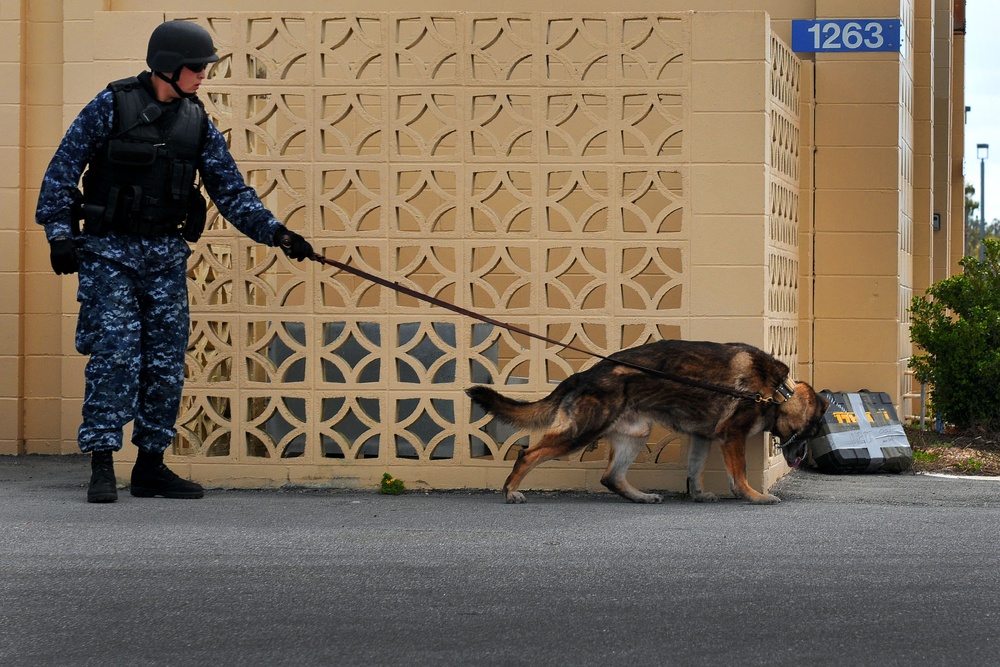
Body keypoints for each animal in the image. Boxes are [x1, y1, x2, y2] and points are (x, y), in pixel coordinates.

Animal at [468, 342, 828, 504]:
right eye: (809, 432)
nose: (799, 460)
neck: (778, 392)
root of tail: (582, 375)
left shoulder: (703, 438)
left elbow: (695, 469)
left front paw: (698, 494)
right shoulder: (731, 436)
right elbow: (738, 474)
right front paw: (753, 496)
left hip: (635, 435)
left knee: (610, 477)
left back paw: (639, 497)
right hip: (580, 433)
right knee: (528, 454)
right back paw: (510, 490)